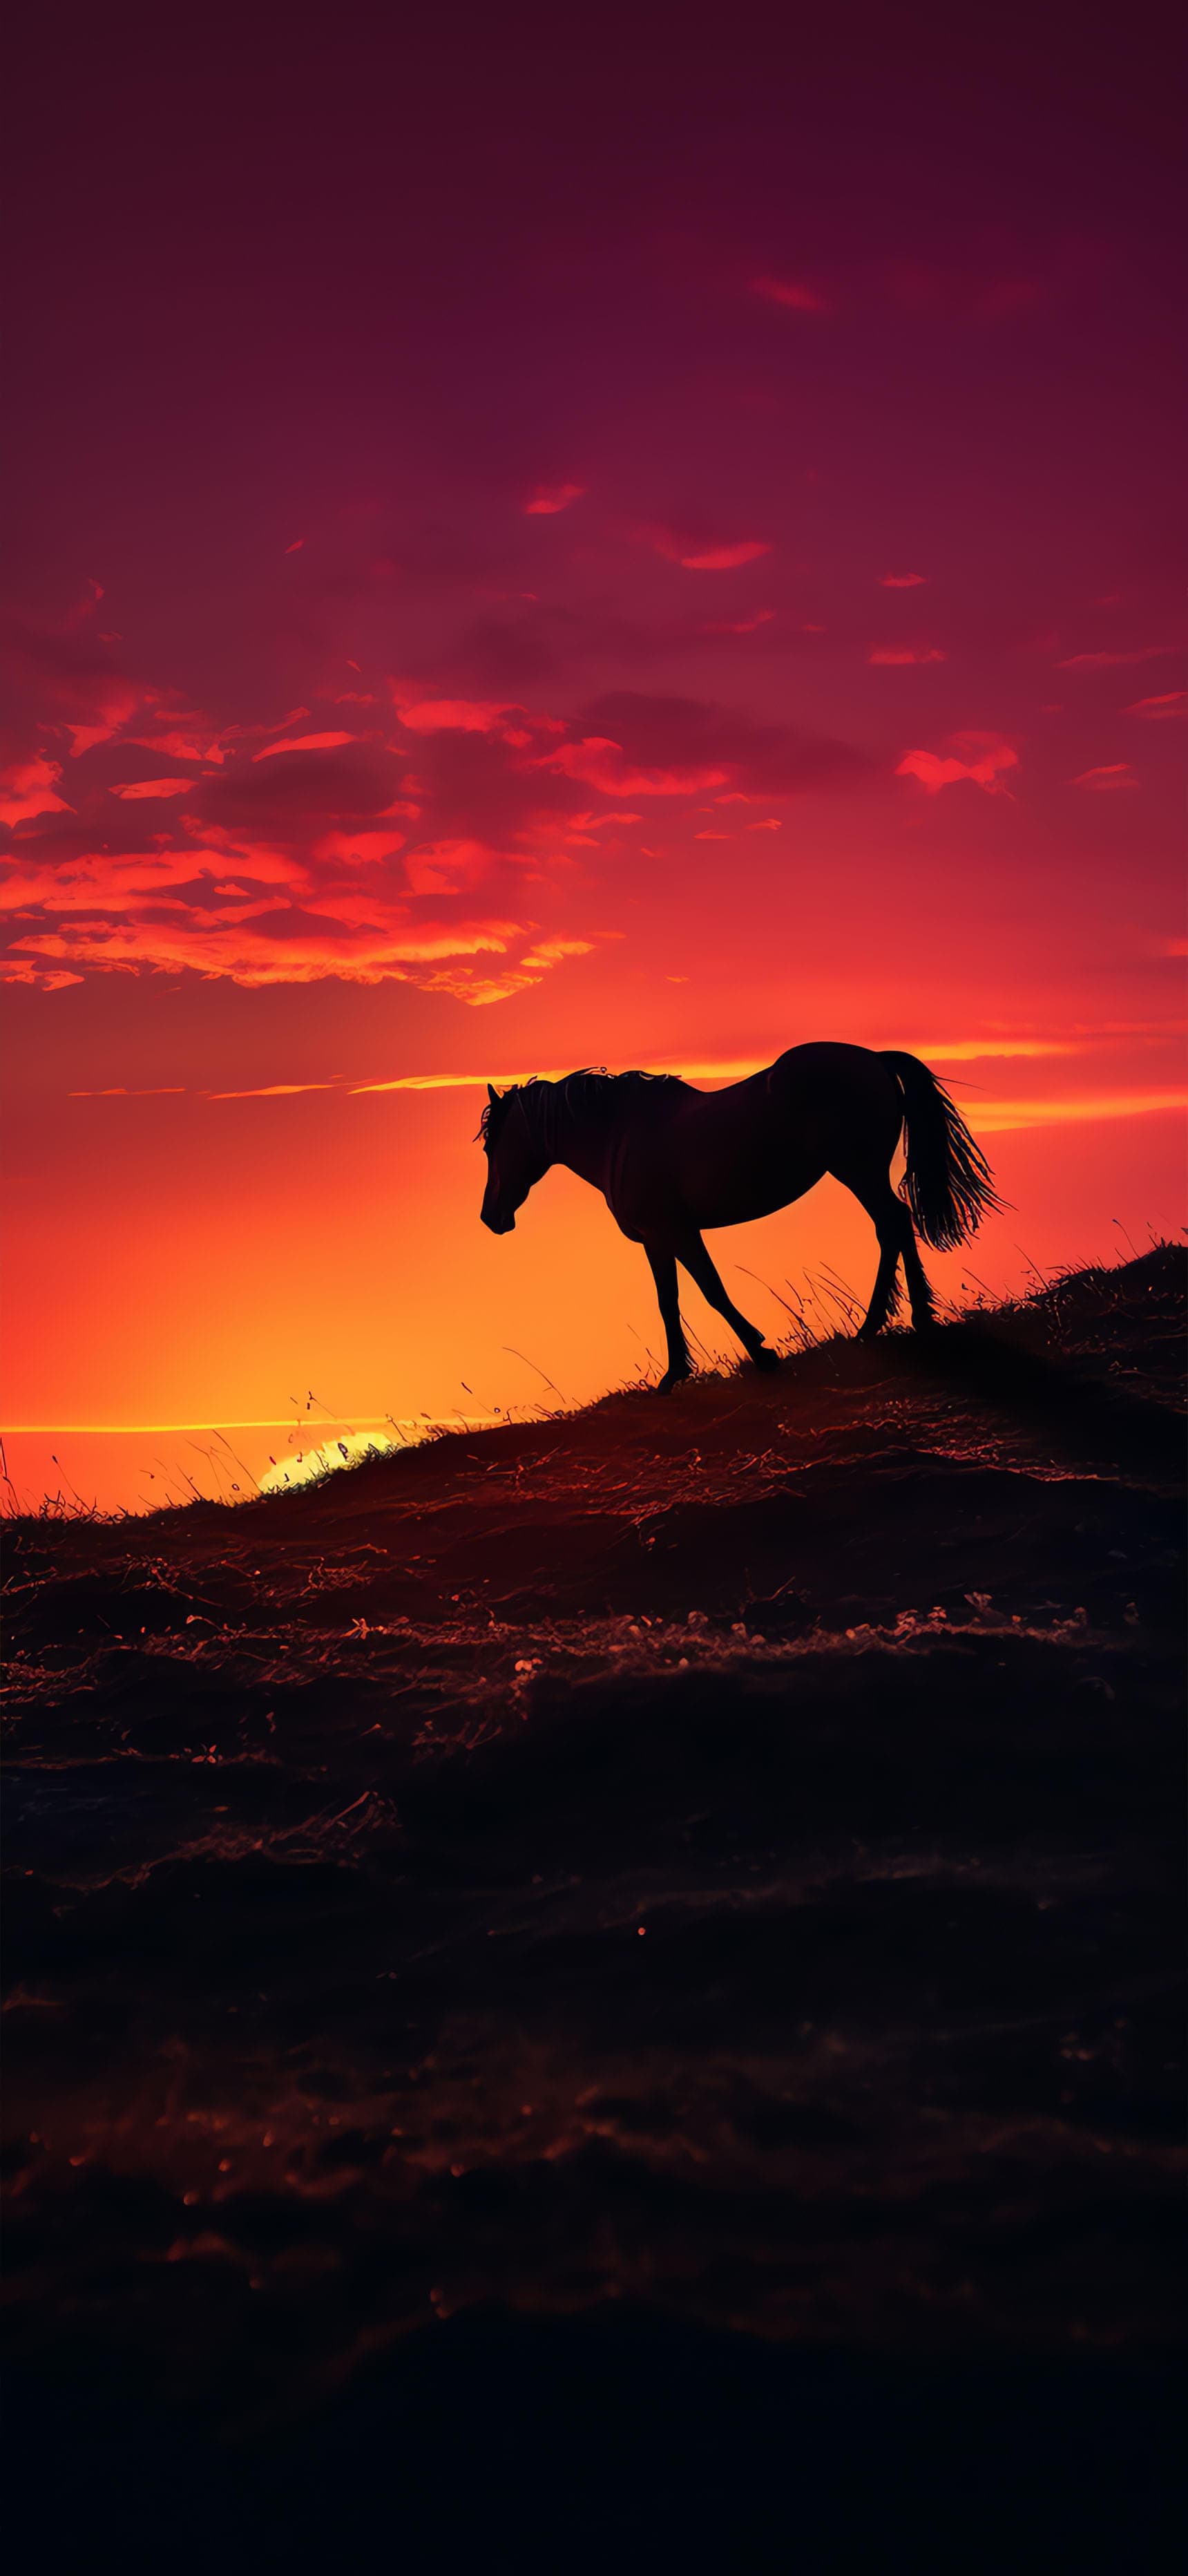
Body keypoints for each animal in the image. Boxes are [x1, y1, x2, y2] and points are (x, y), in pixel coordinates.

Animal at [479, 1043, 1002, 1390]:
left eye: (490, 1145)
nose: (490, 1217)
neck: (618, 1135)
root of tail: (871, 1057)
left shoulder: (675, 1232)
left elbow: (712, 1292)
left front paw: (761, 1353)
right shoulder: (658, 1240)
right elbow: (669, 1301)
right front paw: (675, 1375)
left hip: (857, 1170)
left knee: (892, 1224)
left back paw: (890, 1322)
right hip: (862, 1172)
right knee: (894, 1226)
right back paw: (899, 1319)